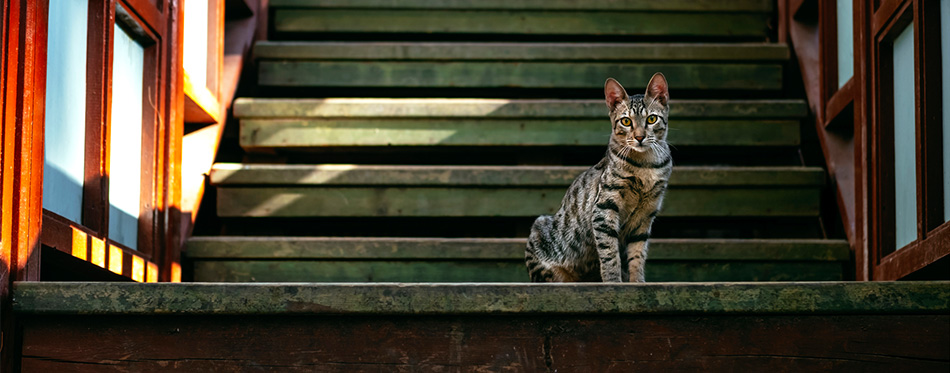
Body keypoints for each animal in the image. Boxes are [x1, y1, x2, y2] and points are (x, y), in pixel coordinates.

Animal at [524, 72, 672, 282]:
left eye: (651, 119)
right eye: (626, 121)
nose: (639, 137)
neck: (646, 165)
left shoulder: (646, 213)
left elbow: (638, 254)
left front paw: (637, 282)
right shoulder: (604, 207)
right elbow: (609, 253)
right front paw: (613, 282)